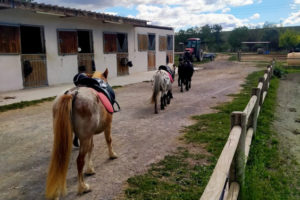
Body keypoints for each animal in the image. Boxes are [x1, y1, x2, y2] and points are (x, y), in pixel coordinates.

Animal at [45, 69, 117, 200]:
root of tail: (72, 94)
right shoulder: (106, 126)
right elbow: (108, 140)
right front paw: (112, 154)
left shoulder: (89, 135)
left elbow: (91, 148)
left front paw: (90, 169)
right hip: (84, 137)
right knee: (79, 161)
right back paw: (83, 187)